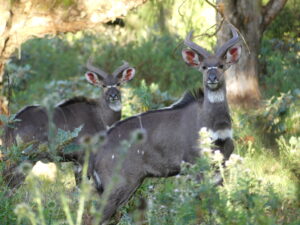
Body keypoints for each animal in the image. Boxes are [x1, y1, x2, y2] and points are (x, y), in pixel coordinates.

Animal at [2, 59, 136, 188]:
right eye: (103, 85)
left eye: (118, 84)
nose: (113, 95)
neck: (100, 115)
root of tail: (12, 124)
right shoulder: (84, 157)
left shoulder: (76, 162)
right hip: (26, 158)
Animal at [89, 25, 241, 222]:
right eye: (204, 67)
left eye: (221, 65)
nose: (212, 78)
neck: (215, 128)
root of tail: (95, 154)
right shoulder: (194, 167)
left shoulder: (220, 167)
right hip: (119, 185)